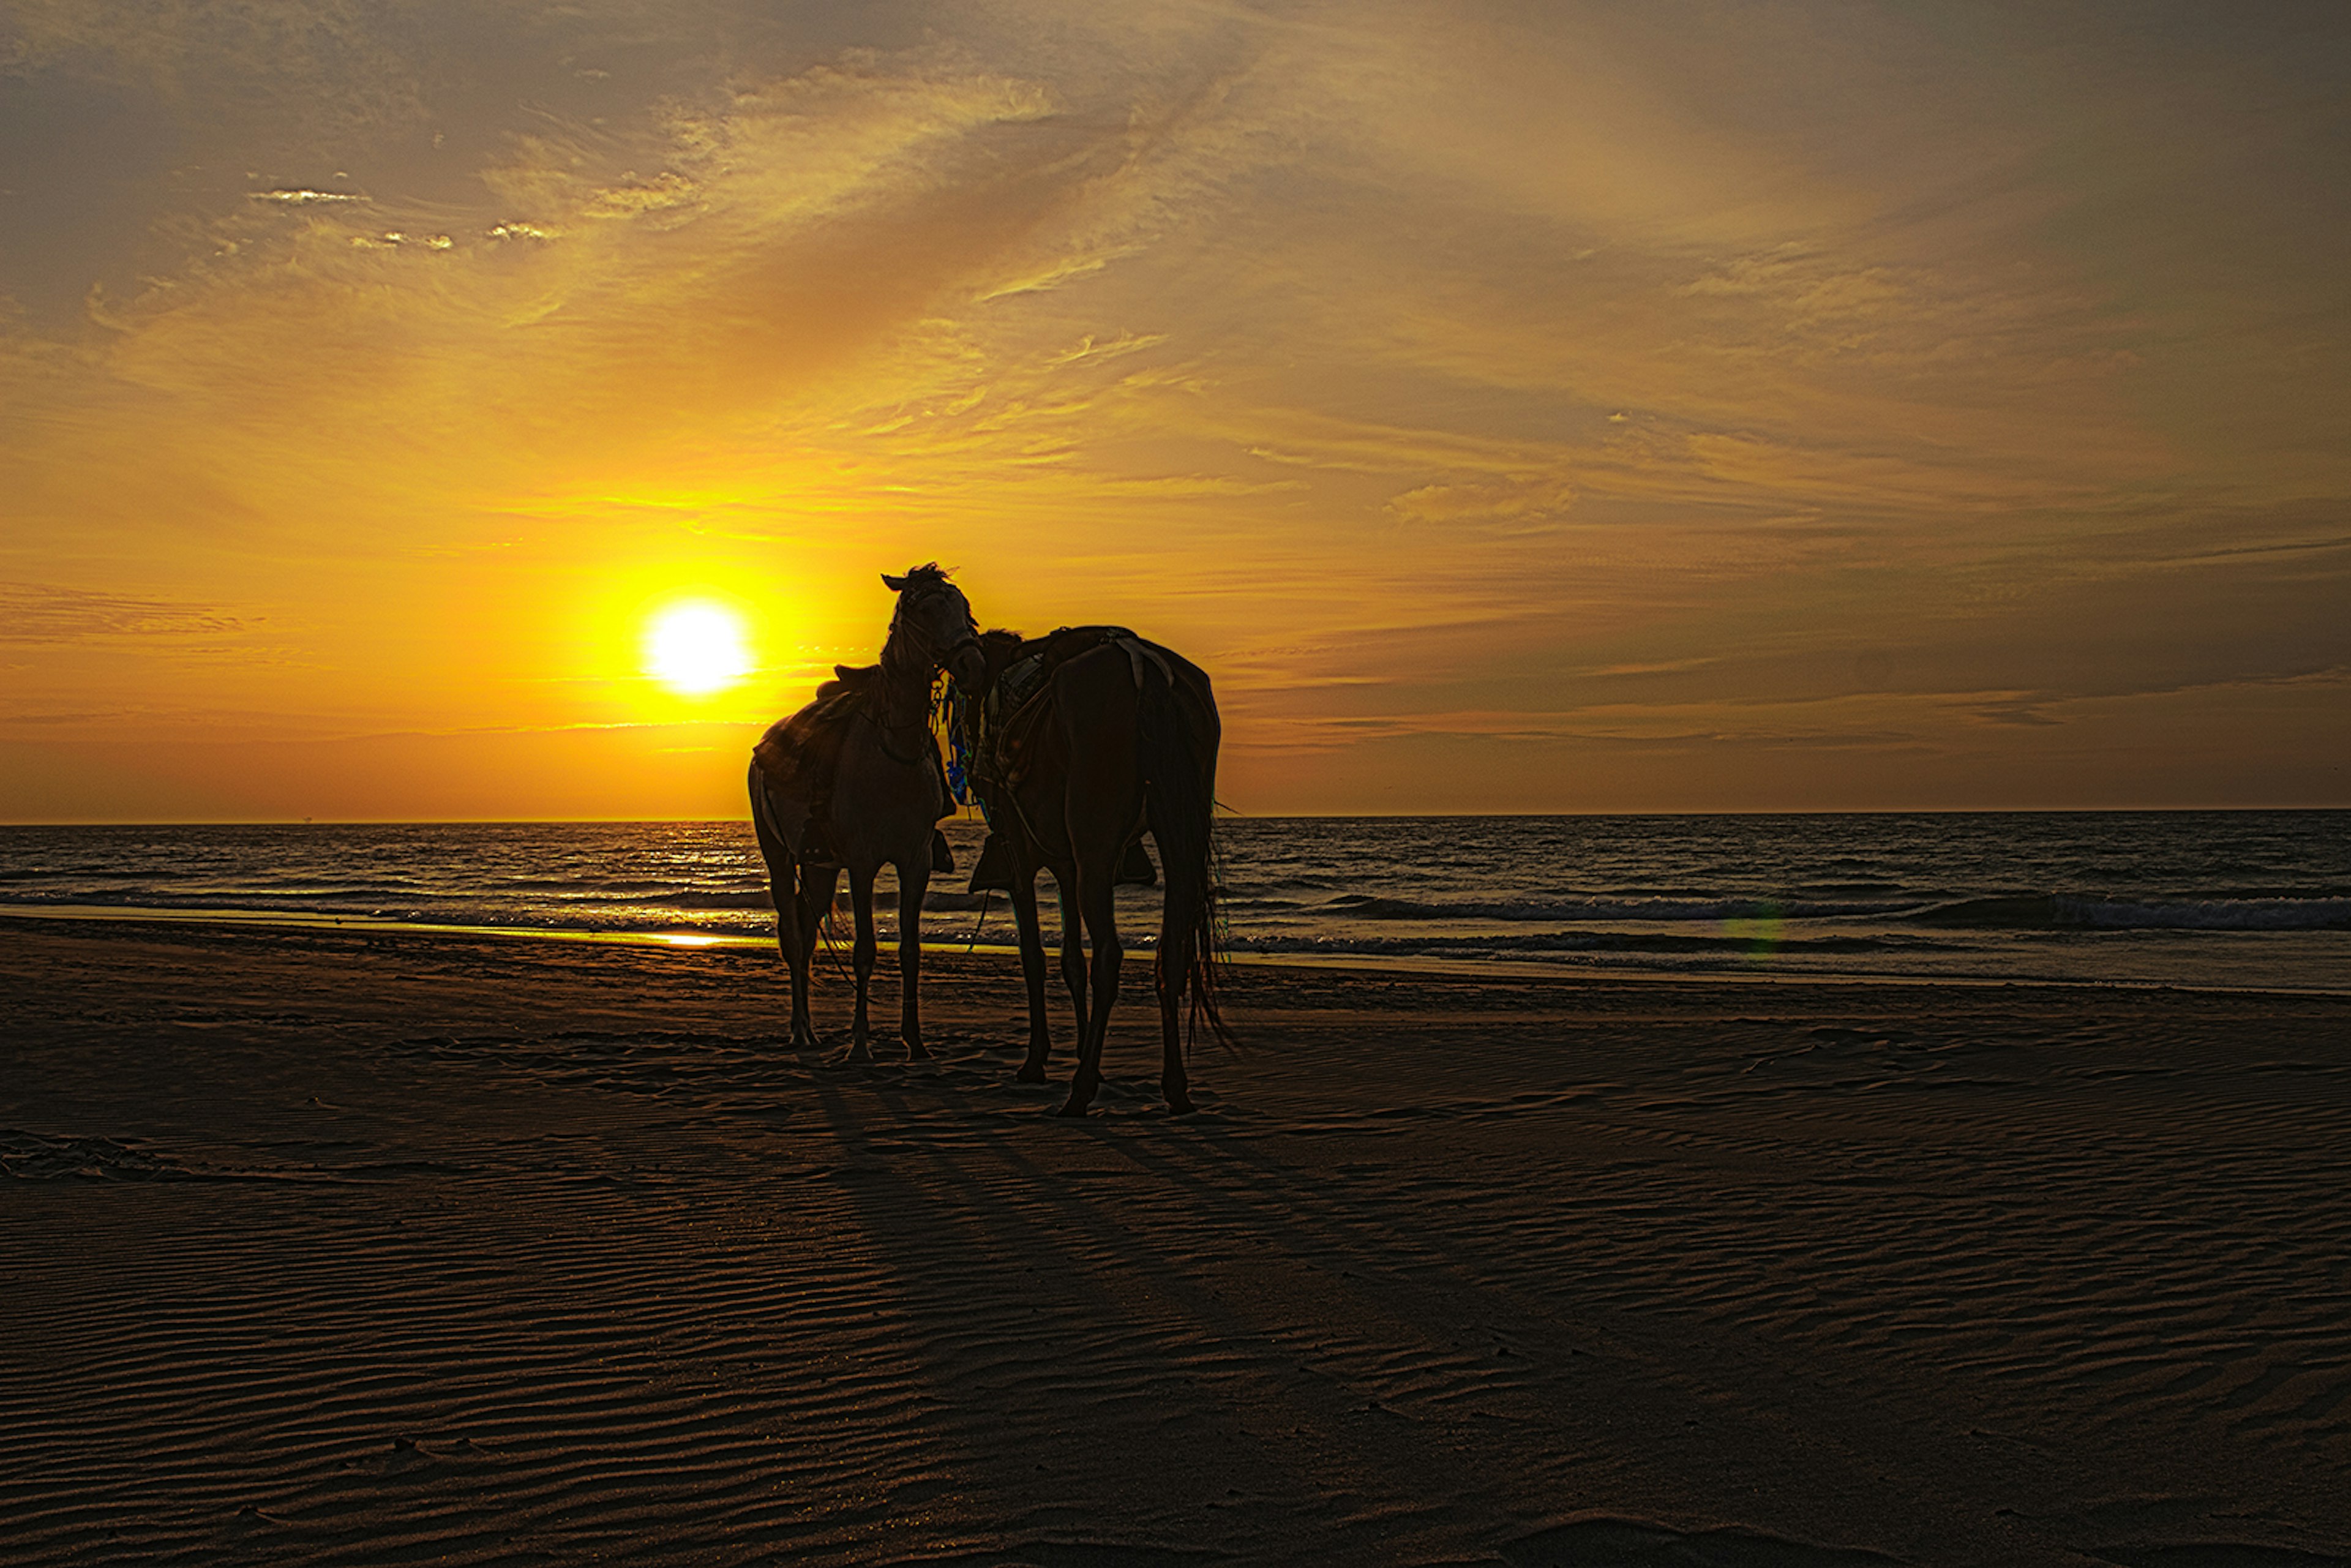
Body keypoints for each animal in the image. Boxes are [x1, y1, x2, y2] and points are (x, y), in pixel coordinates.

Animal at [743, 571, 983, 1062]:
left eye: (962, 606)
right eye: (925, 609)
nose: (972, 664)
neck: (893, 751)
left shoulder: (915, 862)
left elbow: (910, 950)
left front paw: (915, 1041)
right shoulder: (862, 863)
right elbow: (865, 951)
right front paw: (859, 1045)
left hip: (818, 867)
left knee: (807, 935)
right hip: (780, 858)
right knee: (792, 939)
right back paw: (801, 1031)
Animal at [959, 625, 1241, 1114]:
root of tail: (1141, 663)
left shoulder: (1023, 861)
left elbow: (1034, 956)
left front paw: (1037, 1060)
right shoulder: (1066, 865)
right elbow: (1072, 957)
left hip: (1095, 849)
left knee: (1109, 955)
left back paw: (1082, 1088)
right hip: (1178, 839)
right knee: (1172, 952)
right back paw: (1174, 1087)